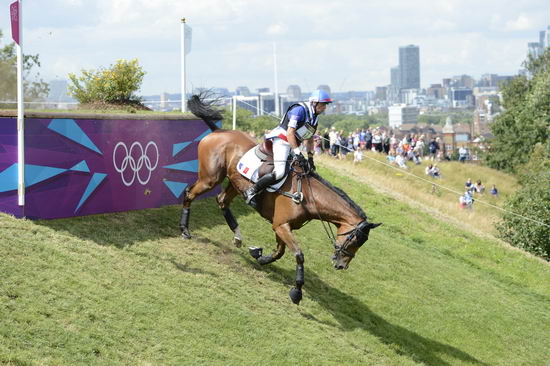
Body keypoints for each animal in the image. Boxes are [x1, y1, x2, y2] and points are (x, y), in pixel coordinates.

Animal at [181, 95, 380, 304]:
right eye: (354, 239)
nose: (342, 265)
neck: (308, 197)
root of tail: (219, 131)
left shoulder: (282, 225)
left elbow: (280, 251)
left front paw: (259, 256)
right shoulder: (281, 225)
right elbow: (299, 255)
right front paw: (297, 291)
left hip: (234, 183)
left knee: (222, 201)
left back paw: (237, 235)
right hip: (210, 178)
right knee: (189, 194)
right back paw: (185, 230)